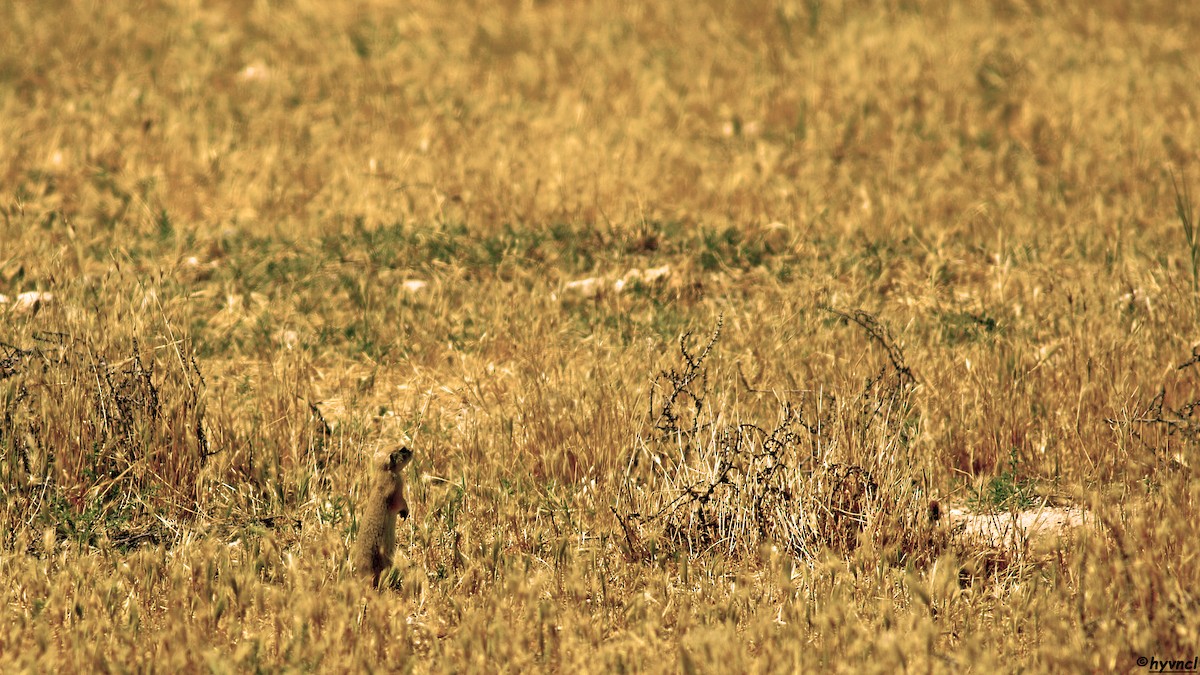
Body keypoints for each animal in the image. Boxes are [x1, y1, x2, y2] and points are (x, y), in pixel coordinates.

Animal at [350, 446, 413, 586]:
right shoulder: (397, 486)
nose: (412, 450)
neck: (384, 472)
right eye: (403, 449)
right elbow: (400, 502)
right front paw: (405, 513)